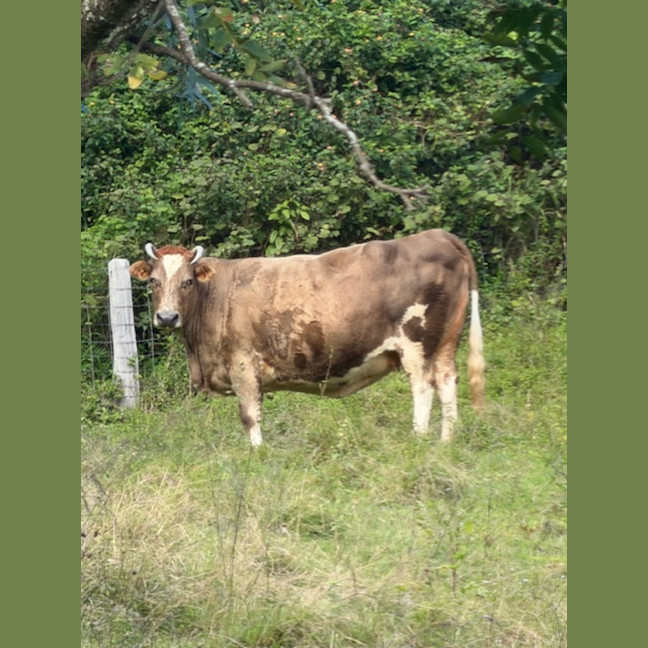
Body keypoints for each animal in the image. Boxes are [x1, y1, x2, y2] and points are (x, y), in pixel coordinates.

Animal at [129, 229, 485, 446]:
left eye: (187, 281)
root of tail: (437, 235)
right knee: (447, 383)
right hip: (444, 343)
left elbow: (249, 415)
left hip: (416, 344)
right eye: (154, 282)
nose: (167, 317)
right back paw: (445, 442)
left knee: (423, 388)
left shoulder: (243, 364)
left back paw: (419, 438)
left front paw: (256, 455)